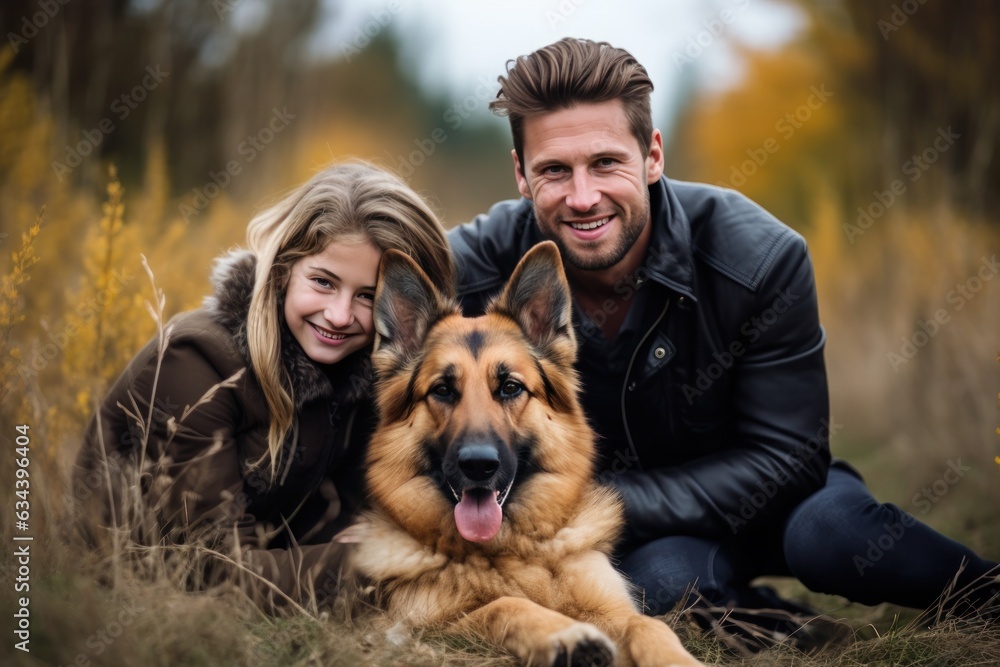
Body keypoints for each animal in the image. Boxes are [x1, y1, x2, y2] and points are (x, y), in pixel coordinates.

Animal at [348, 245, 708, 667]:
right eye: (442, 390)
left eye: (509, 387)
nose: (478, 465)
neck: (513, 549)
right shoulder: (423, 628)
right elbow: (506, 605)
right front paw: (567, 636)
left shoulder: (613, 609)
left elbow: (649, 625)